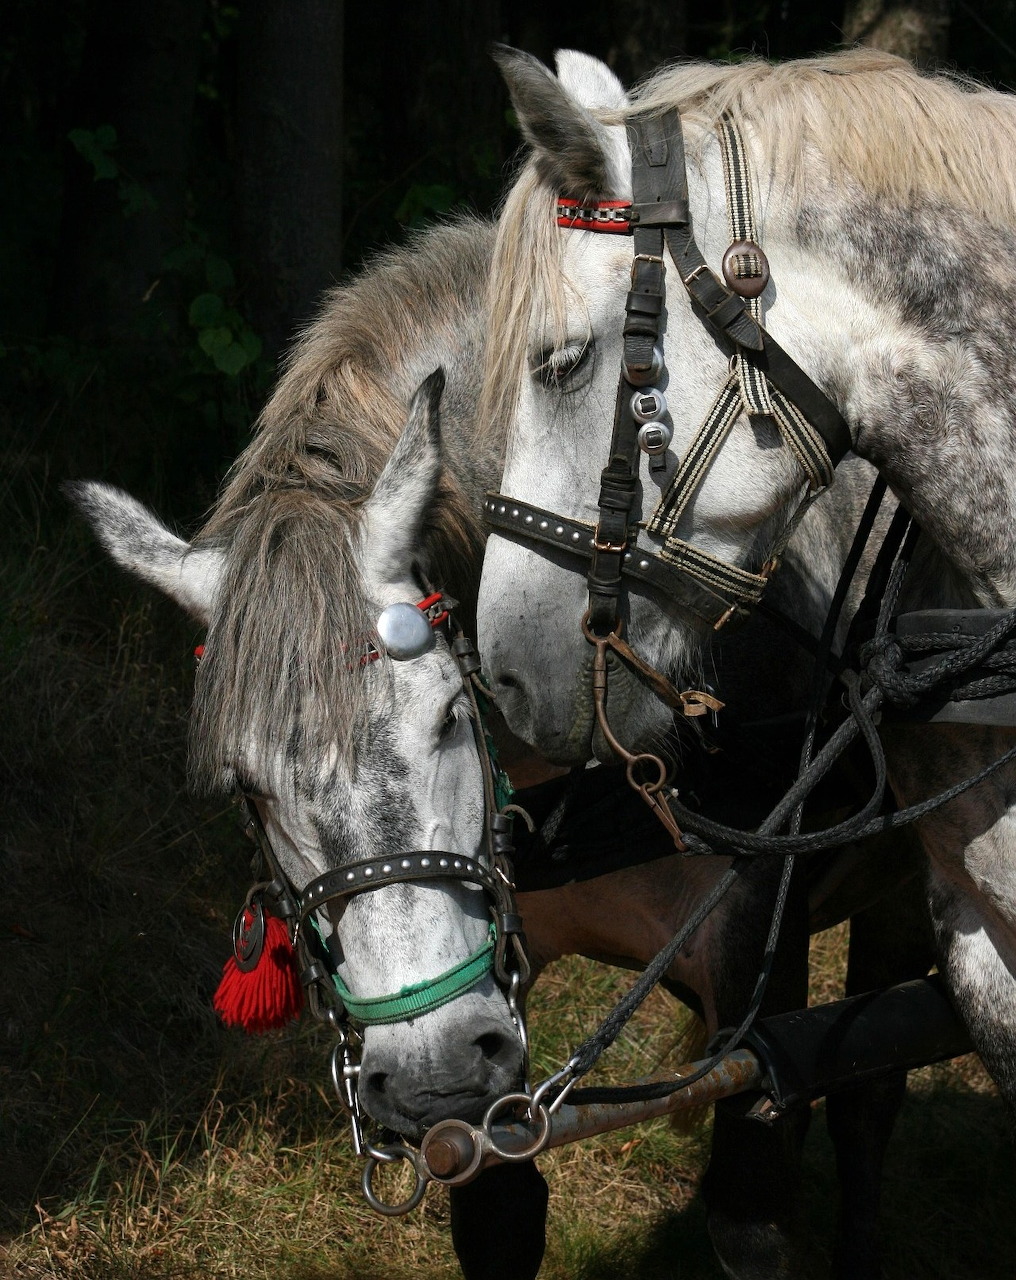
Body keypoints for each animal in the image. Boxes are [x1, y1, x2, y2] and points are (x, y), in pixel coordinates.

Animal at [71, 214, 928, 1280]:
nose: (429, 1069)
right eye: (246, 785)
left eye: (447, 713)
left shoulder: (753, 986)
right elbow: (498, 1212)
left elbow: (755, 1198)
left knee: (871, 1089)